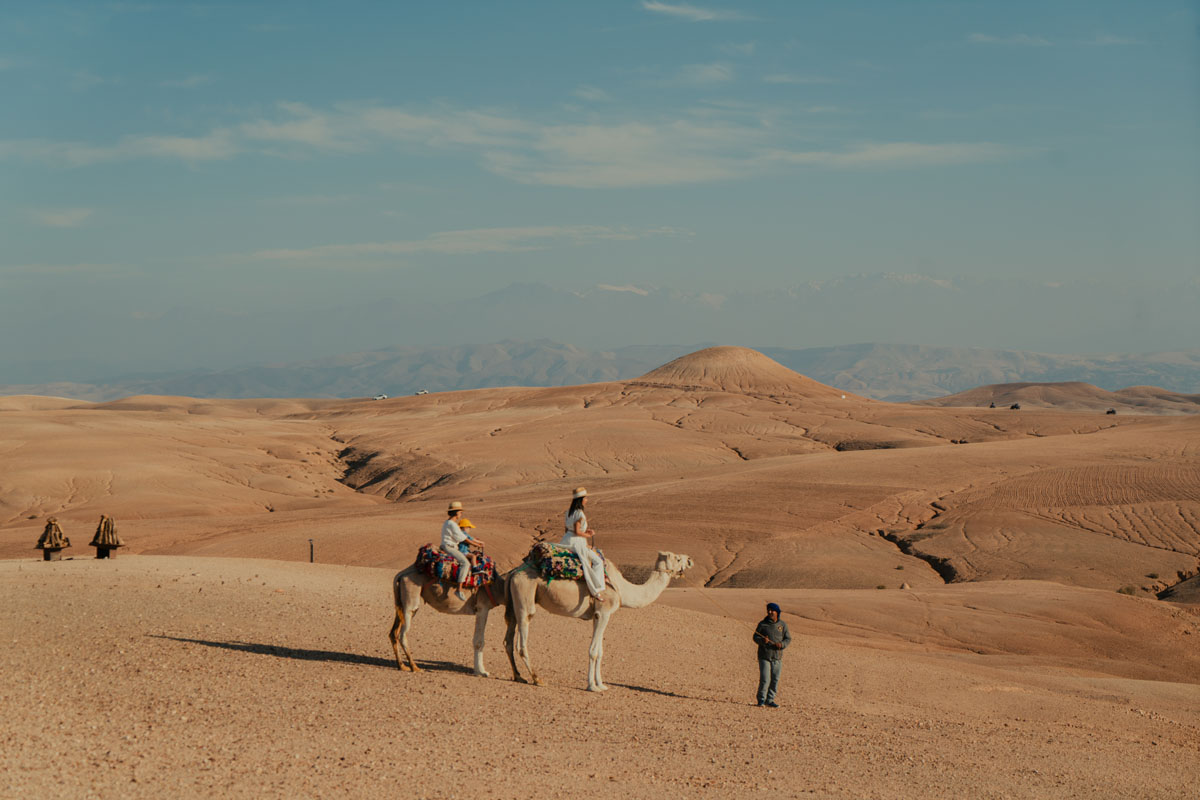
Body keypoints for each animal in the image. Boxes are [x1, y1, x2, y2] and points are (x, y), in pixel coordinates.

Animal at [504, 554, 696, 690]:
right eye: (677, 558)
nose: (690, 560)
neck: (622, 588)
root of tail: (513, 572)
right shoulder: (604, 611)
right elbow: (593, 651)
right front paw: (592, 686)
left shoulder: (598, 615)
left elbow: (601, 651)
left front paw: (601, 684)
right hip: (525, 595)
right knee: (521, 641)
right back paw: (537, 679)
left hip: (513, 602)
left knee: (508, 640)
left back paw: (519, 676)